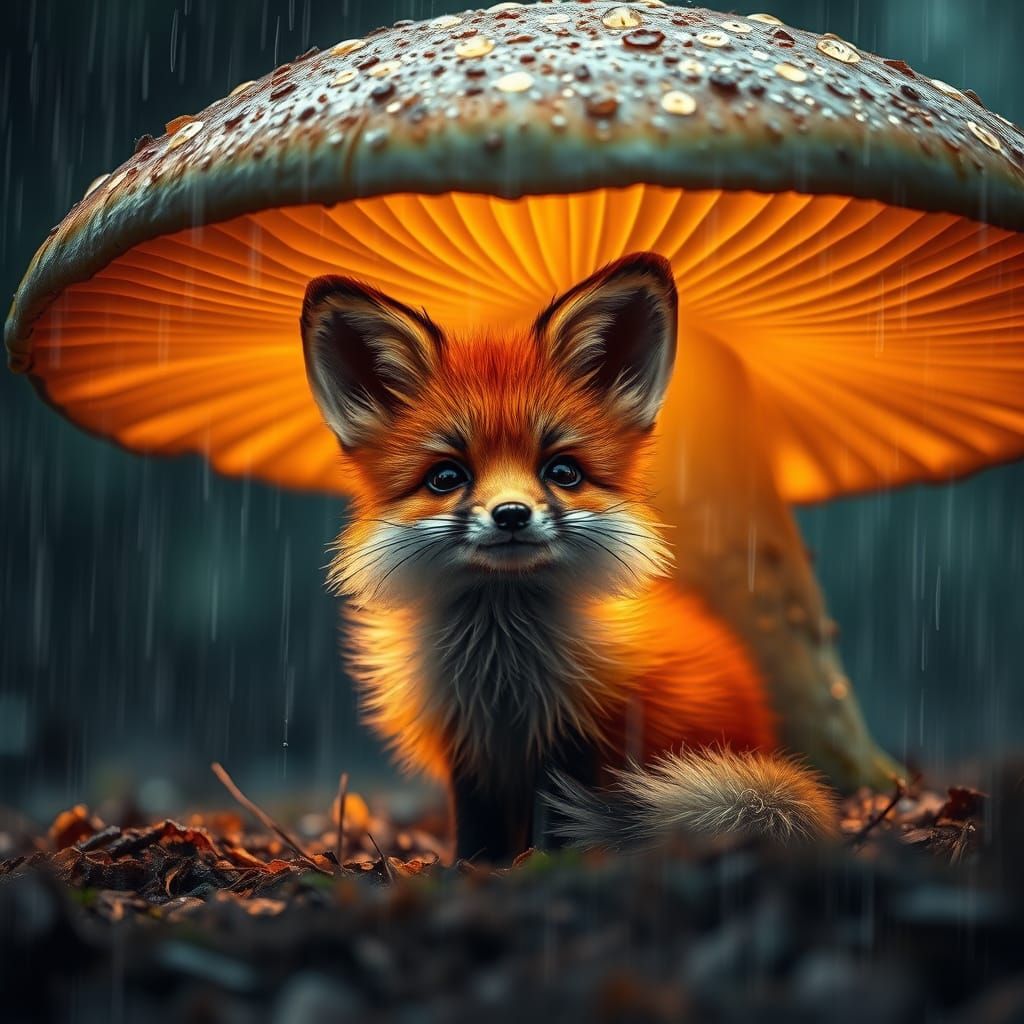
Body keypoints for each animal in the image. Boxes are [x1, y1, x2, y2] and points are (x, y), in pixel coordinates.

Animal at [300, 252, 836, 863]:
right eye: (446, 477)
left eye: (562, 471)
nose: (511, 514)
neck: (502, 669)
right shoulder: (468, 741)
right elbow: (477, 826)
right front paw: (473, 868)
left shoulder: (579, 731)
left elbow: (559, 816)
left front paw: (549, 863)